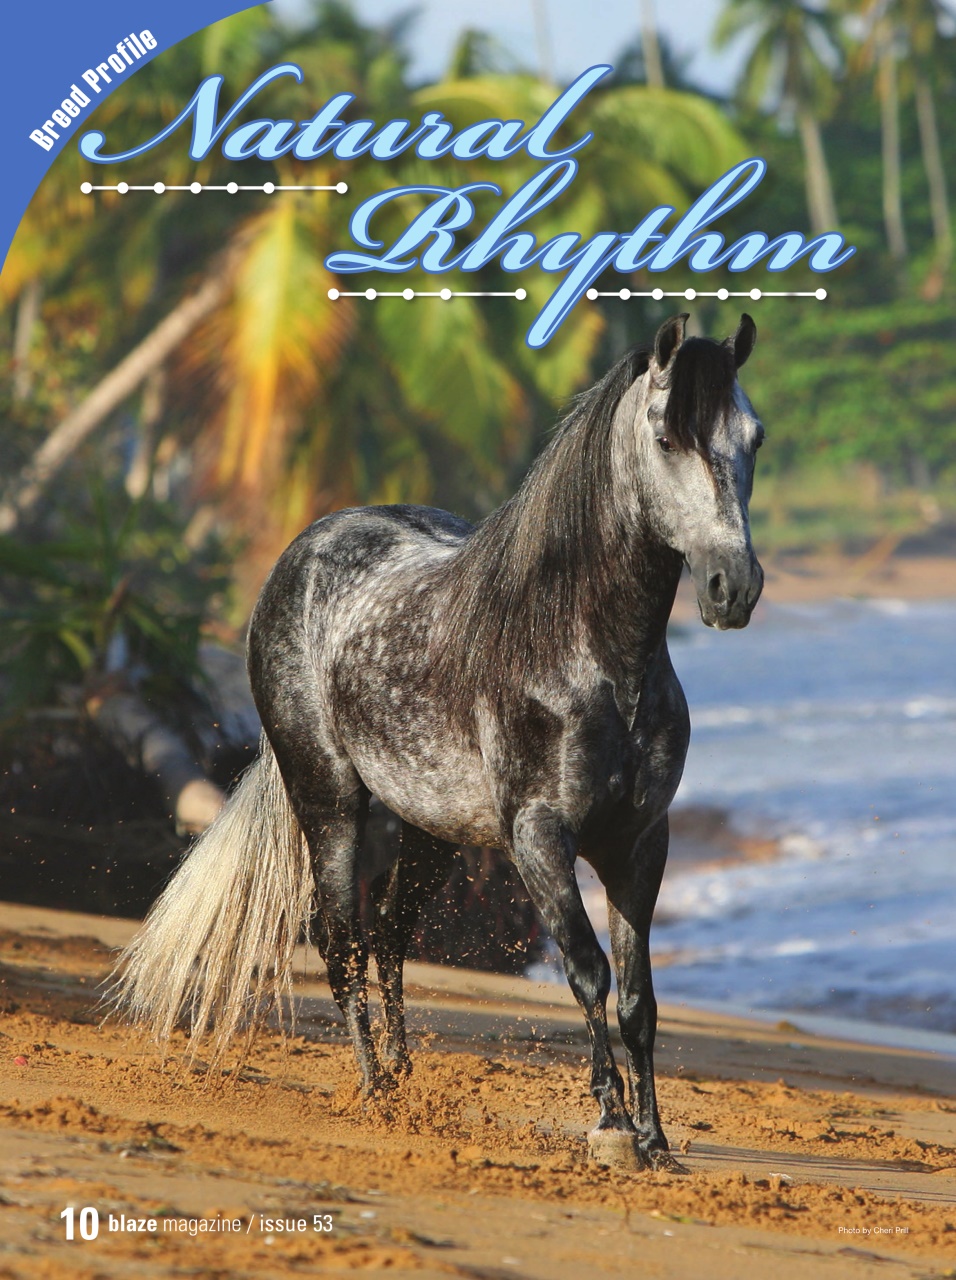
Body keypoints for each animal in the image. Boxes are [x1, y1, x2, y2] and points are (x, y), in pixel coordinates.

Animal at [114, 312, 764, 1172]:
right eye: (664, 436)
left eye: (753, 438)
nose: (734, 587)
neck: (583, 652)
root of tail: (303, 552)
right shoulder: (539, 839)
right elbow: (586, 972)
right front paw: (612, 1127)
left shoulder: (639, 842)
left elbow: (637, 998)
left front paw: (657, 1143)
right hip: (331, 804)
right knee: (343, 940)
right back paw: (375, 1092)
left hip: (431, 831)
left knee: (390, 938)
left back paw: (404, 1076)